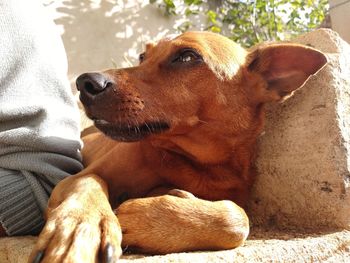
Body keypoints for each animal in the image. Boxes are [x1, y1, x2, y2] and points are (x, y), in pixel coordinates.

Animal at [28, 31, 326, 263]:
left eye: (187, 56)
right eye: (142, 57)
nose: (85, 82)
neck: (196, 163)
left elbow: (238, 219)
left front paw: (147, 216)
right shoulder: (74, 179)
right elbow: (89, 183)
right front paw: (79, 231)